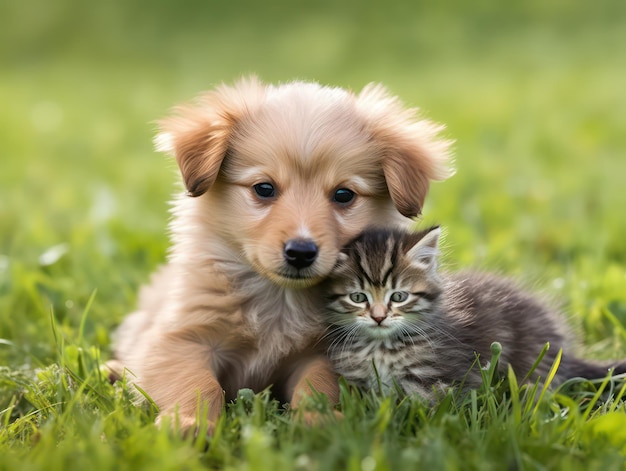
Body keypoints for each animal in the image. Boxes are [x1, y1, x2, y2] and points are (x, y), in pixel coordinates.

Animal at [109, 77, 450, 436]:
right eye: (264, 188)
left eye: (344, 195)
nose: (301, 252)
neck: (279, 299)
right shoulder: (179, 339)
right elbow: (197, 382)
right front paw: (190, 423)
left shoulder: (321, 353)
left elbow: (316, 386)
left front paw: (317, 420)